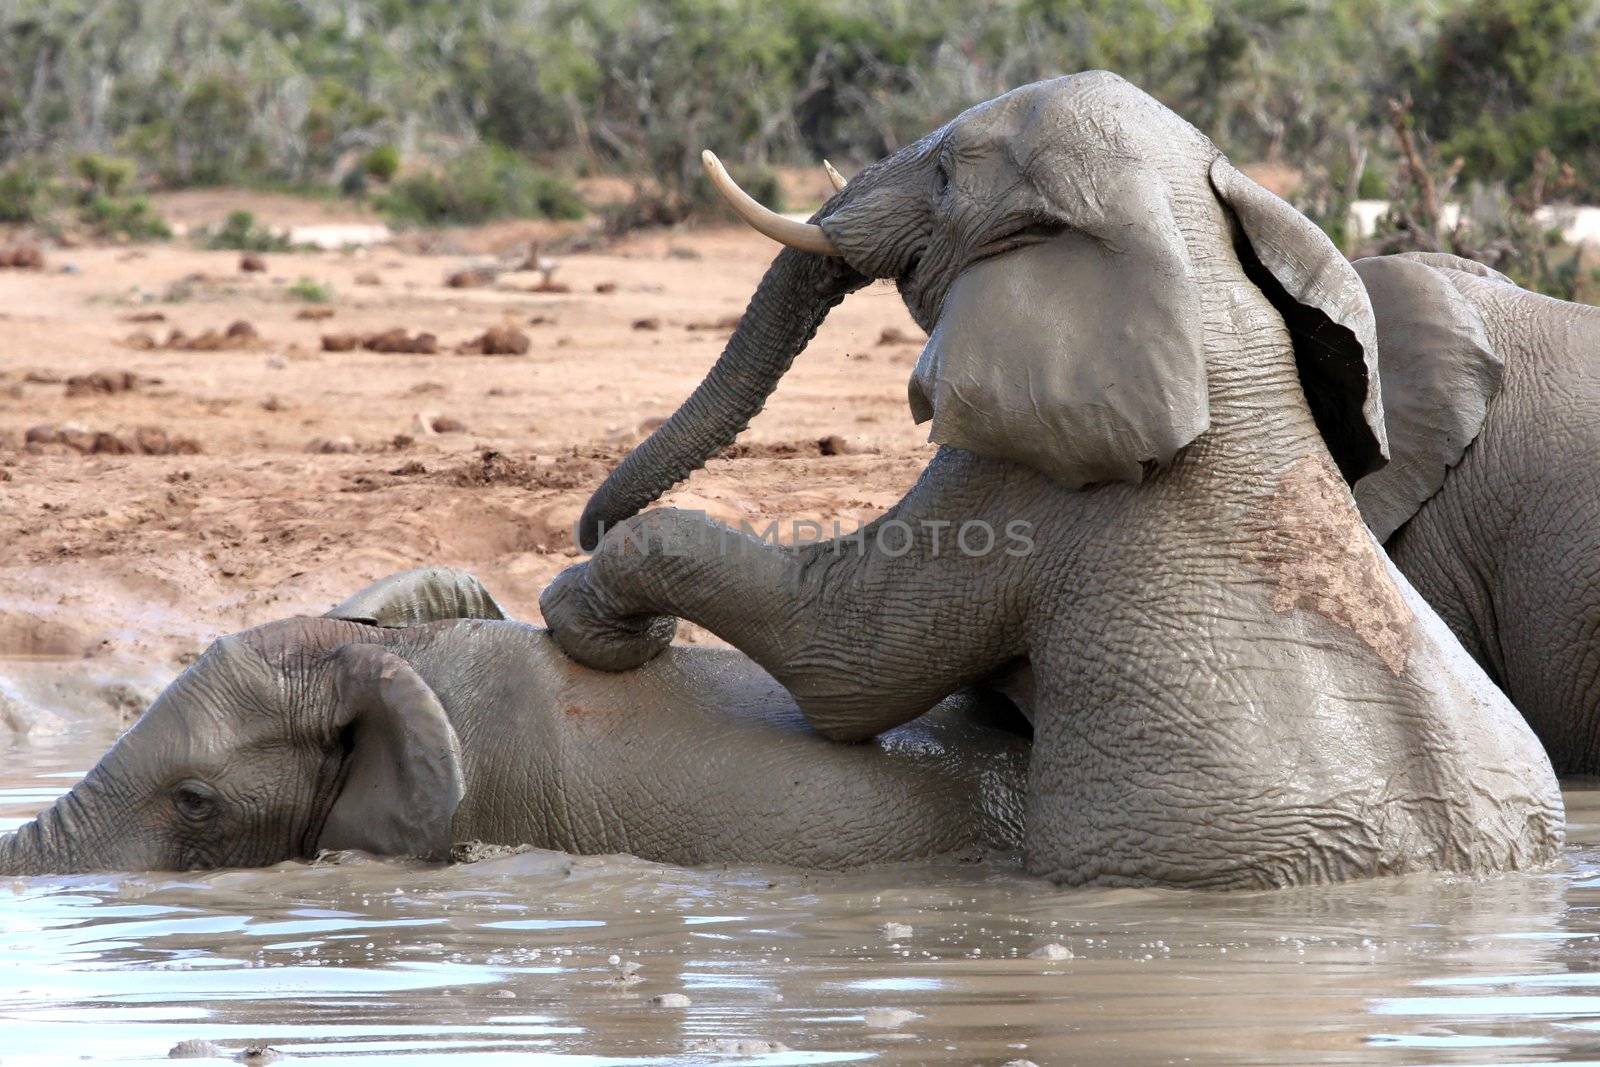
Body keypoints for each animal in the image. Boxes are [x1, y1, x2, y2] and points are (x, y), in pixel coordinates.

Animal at [540, 70, 1561, 895]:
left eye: (947, 173)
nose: (587, 521)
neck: (1194, 272)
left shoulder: (1021, 482)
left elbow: (841, 662)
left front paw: (585, 616)